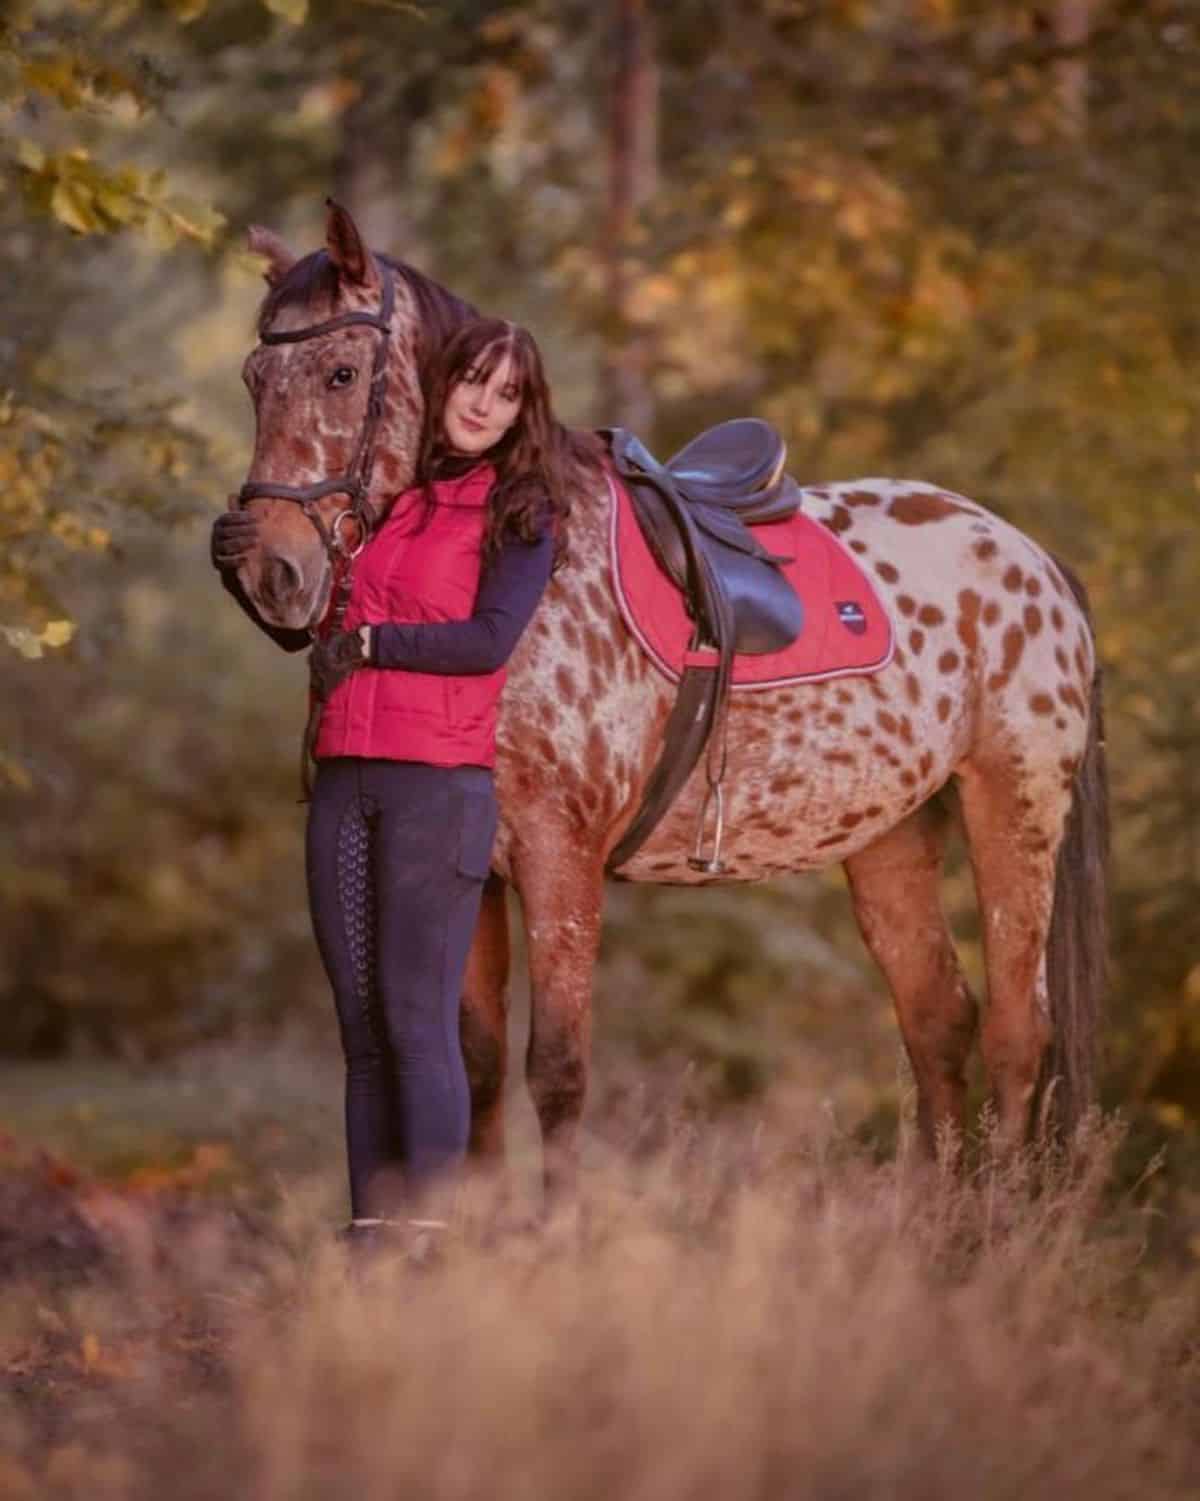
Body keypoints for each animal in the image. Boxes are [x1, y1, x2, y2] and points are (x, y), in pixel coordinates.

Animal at [232, 208, 1105, 1194]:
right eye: (255, 379)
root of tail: (1032, 558)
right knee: (937, 1023)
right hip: (892, 836)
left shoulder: (559, 858)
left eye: (341, 373)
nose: (271, 570)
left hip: (1014, 803)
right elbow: (479, 1064)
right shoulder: (482, 873)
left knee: (1015, 1032)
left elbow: (557, 1070)